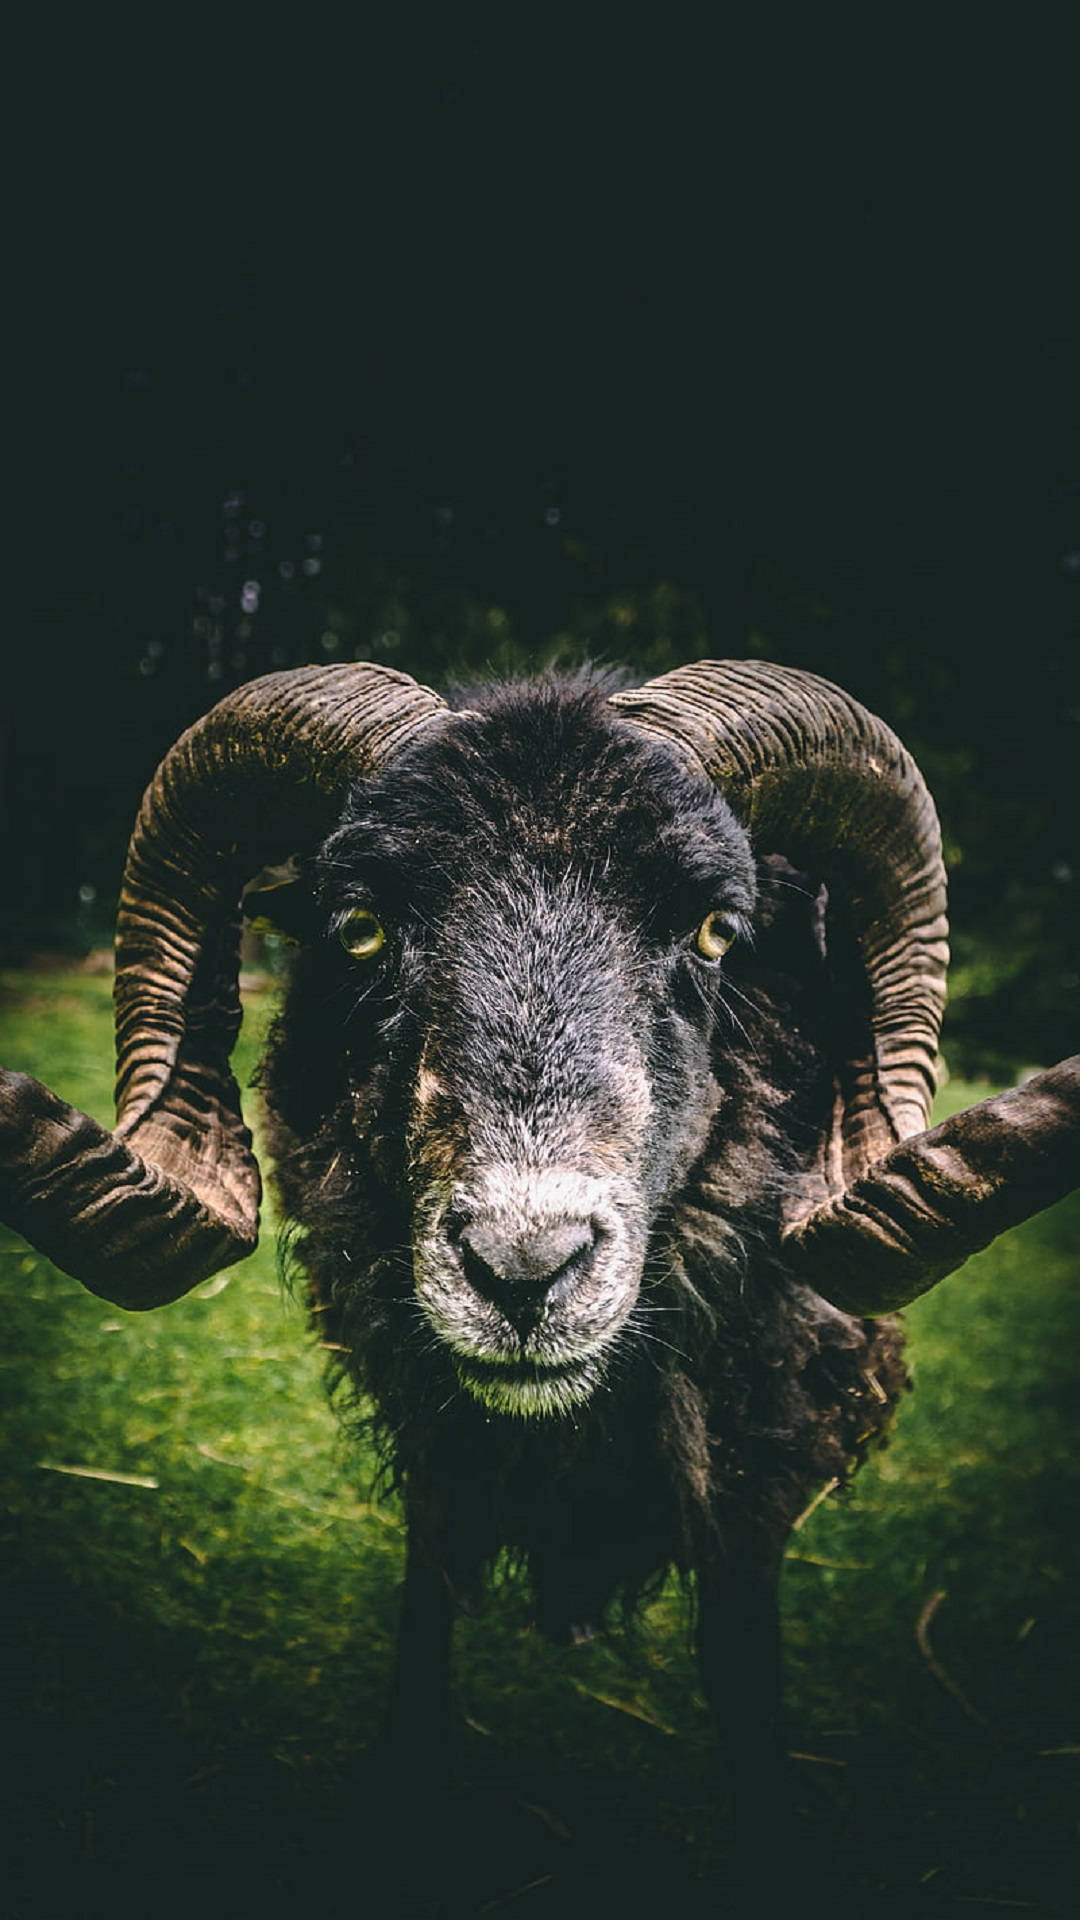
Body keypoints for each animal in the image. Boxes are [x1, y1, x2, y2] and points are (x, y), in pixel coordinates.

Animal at [2, 659, 1077, 1853]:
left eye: (718, 931)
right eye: (360, 926)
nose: (523, 1271)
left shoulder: (757, 1457)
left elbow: (740, 1657)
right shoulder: (430, 1427)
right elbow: (426, 1597)